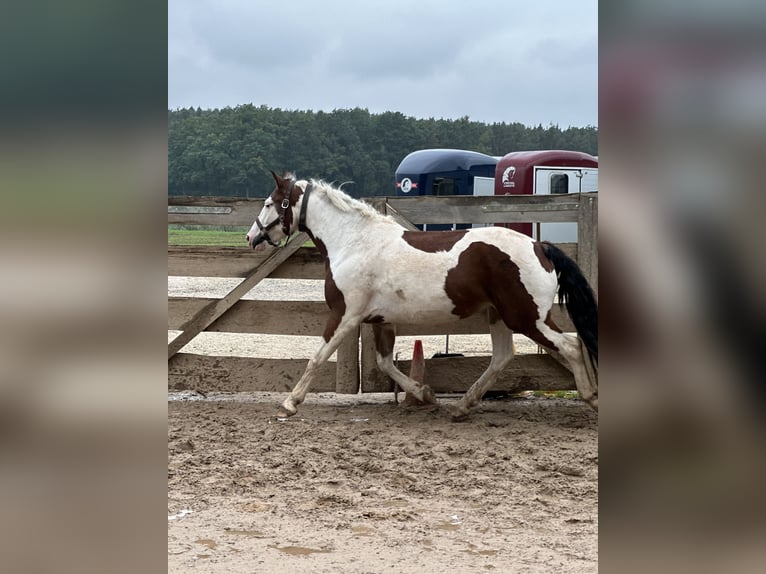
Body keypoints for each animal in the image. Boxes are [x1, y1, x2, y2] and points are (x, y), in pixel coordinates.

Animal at [246, 171, 598, 420]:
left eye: (269, 203)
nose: (252, 237)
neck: (354, 242)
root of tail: (540, 247)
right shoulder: (380, 321)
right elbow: (385, 363)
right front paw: (425, 393)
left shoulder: (345, 314)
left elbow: (318, 357)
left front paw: (289, 403)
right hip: (499, 314)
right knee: (502, 357)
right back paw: (462, 407)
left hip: (527, 317)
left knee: (571, 345)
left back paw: (591, 397)